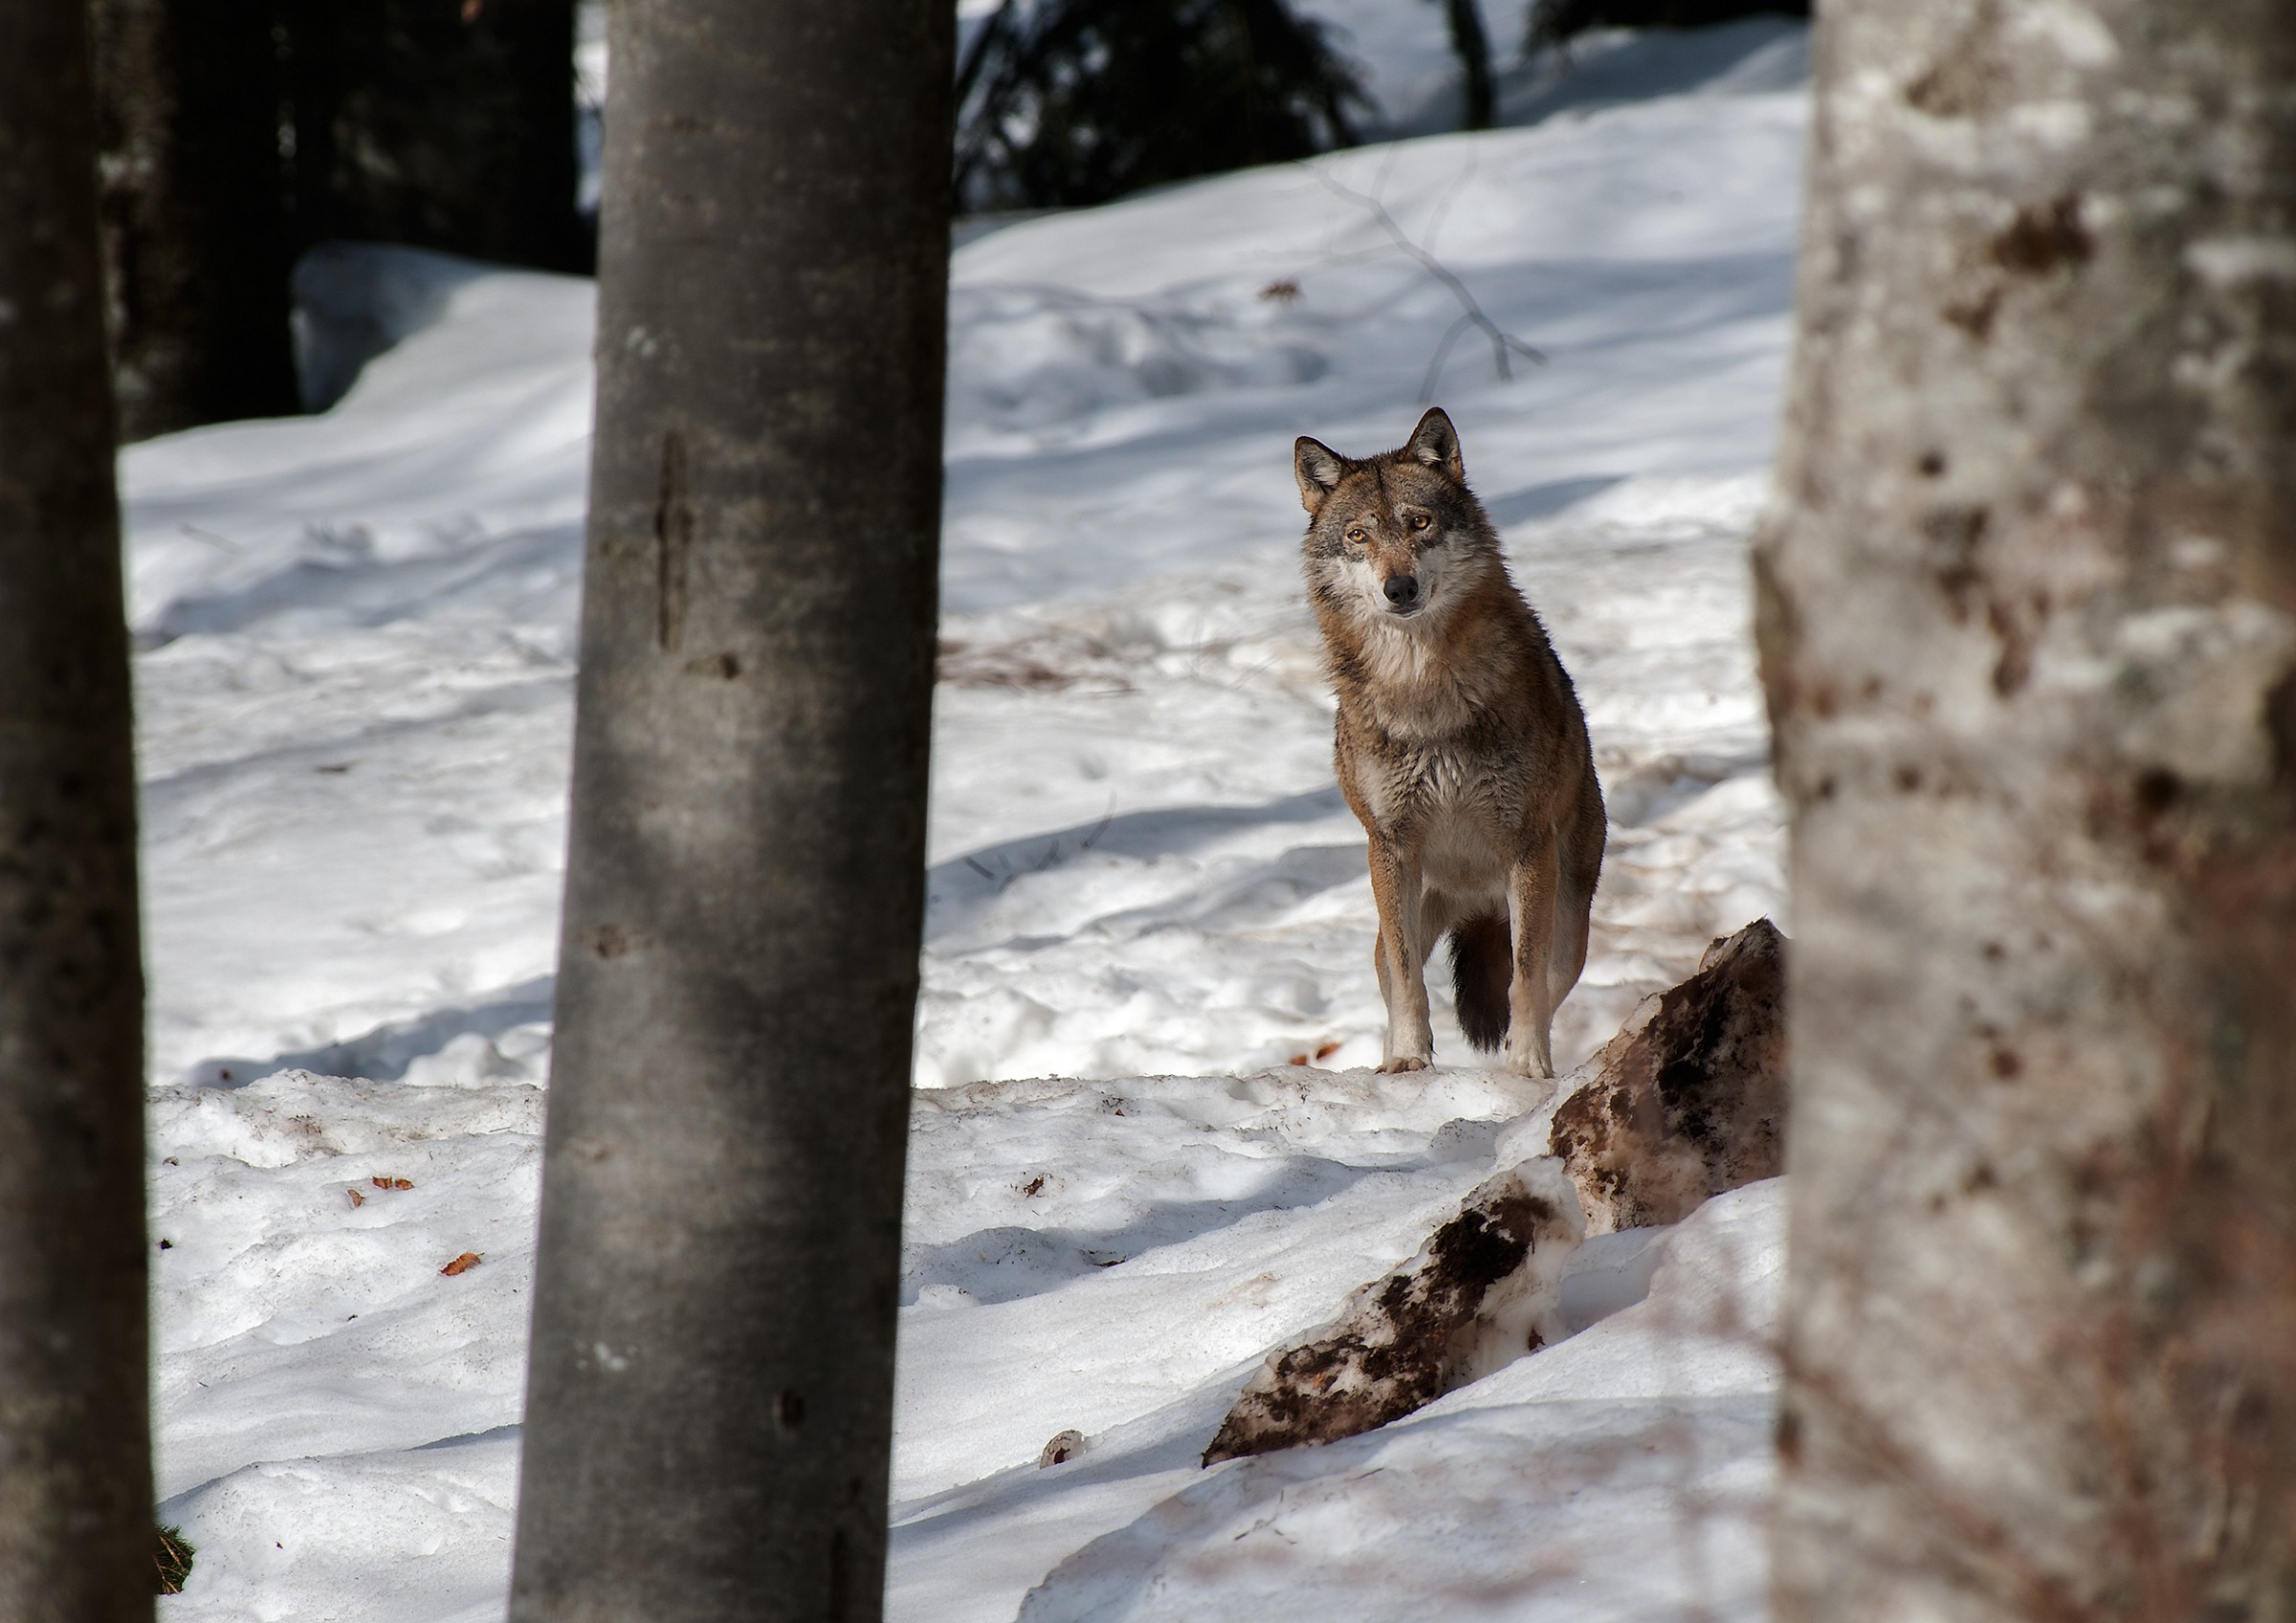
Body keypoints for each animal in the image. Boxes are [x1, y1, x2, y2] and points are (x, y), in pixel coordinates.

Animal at [1295, 407, 1605, 1077]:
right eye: (1358, 536)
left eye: (1420, 522)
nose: (1400, 588)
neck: (1423, 688)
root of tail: (1473, 898)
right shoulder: (1389, 846)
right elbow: (1410, 980)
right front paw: (1409, 1062)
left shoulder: (1527, 845)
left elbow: (1525, 980)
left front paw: (1527, 1067)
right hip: (1396, 915)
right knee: (1392, 973)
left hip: (1567, 923)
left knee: (1546, 979)